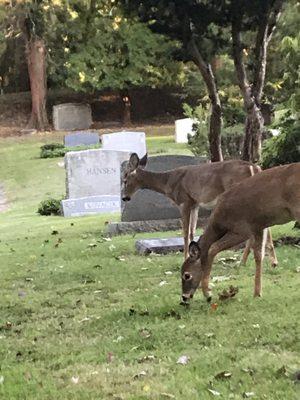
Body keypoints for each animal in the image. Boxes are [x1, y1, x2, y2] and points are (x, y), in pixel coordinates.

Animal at [121, 155, 276, 264]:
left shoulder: (184, 201)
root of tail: (254, 168)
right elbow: (192, 232)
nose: (124, 198)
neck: (168, 182)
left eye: (125, 179)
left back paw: (246, 261)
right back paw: (270, 261)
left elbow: (184, 233)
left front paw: (184, 258)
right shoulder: (195, 204)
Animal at [180, 162, 300, 304]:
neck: (219, 222)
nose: (184, 297)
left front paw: (208, 293)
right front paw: (257, 293)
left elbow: (212, 248)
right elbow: (259, 255)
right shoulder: (258, 226)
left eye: (186, 275)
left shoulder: (242, 229)